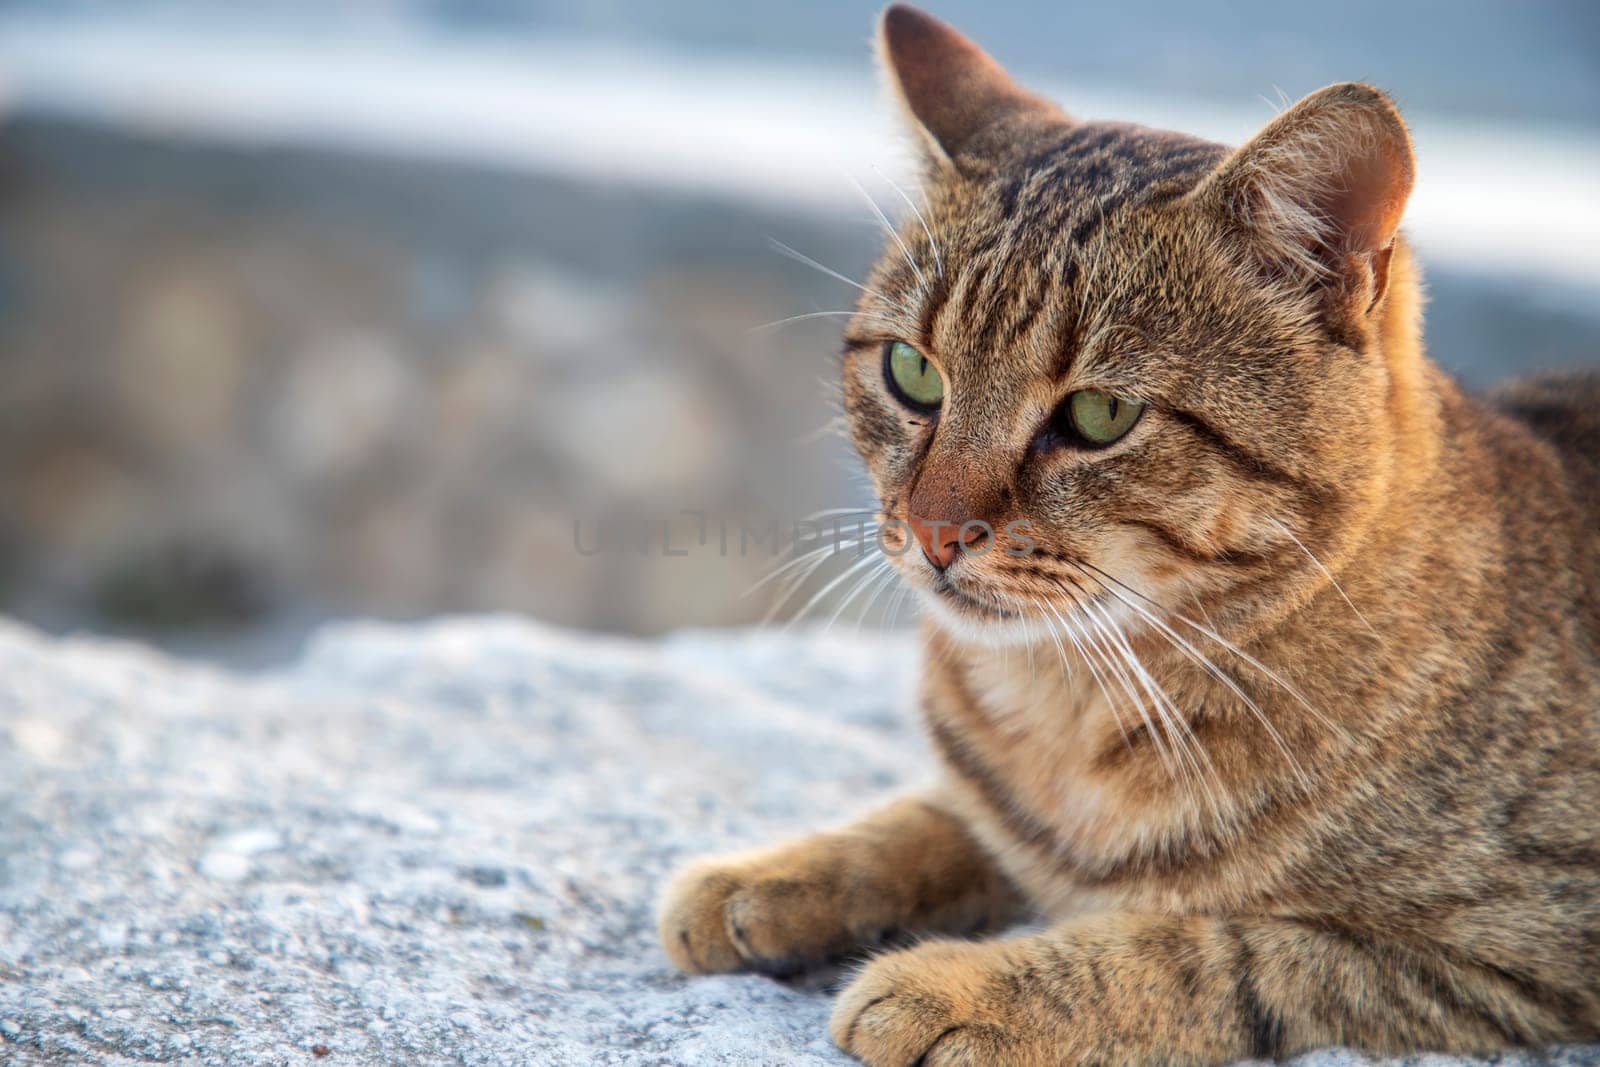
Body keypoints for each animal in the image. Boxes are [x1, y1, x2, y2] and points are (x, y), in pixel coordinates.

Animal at [656, 4, 1593, 1062]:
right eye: (912, 371)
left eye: (1100, 415)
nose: (934, 530)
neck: (1070, 703)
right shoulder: (999, 799)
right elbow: (941, 816)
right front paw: (771, 876)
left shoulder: (1511, 957)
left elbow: (1205, 952)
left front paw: (964, 986)